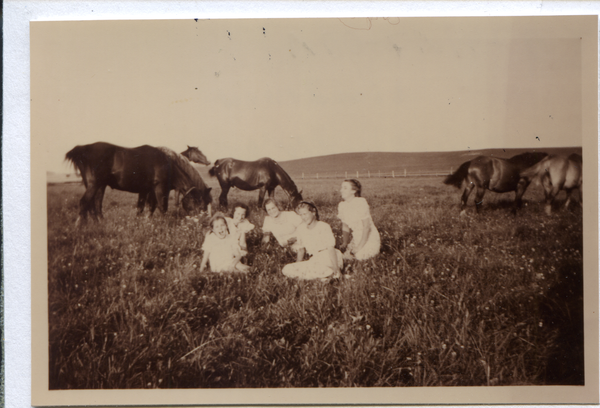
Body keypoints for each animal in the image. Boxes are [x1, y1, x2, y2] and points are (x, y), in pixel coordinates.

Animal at [63, 141, 211, 225]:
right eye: (200, 203)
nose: (201, 221)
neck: (168, 164)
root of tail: (83, 149)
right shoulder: (160, 188)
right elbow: (162, 207)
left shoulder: (146, 190)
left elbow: (144, 208)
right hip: (95, 184)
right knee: (85, 202)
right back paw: (80, 226)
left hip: (99, 186)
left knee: (95, 205)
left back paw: (99, 223)